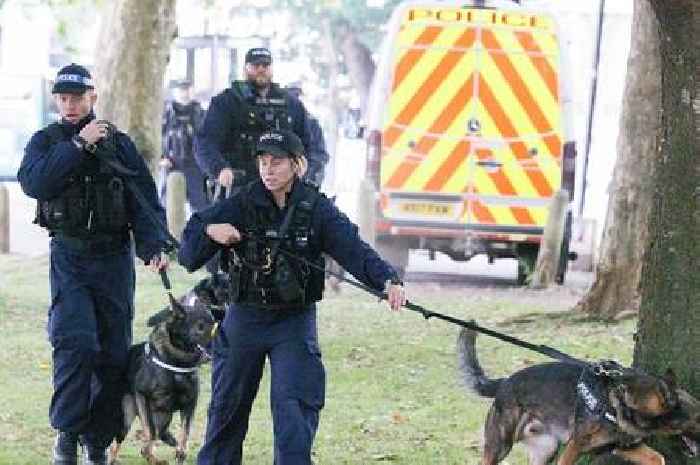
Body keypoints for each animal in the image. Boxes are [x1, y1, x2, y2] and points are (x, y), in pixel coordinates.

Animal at [108, 282, 219, 464]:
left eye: (214, 324)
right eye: (200, 327)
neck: (176, 361)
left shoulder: (190, 404)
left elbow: (185, 431)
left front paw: (181, 451)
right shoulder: (142, 396)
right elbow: (150, 431)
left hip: (164, 415)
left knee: (157, 434)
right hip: (127, 418)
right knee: (122, 442)